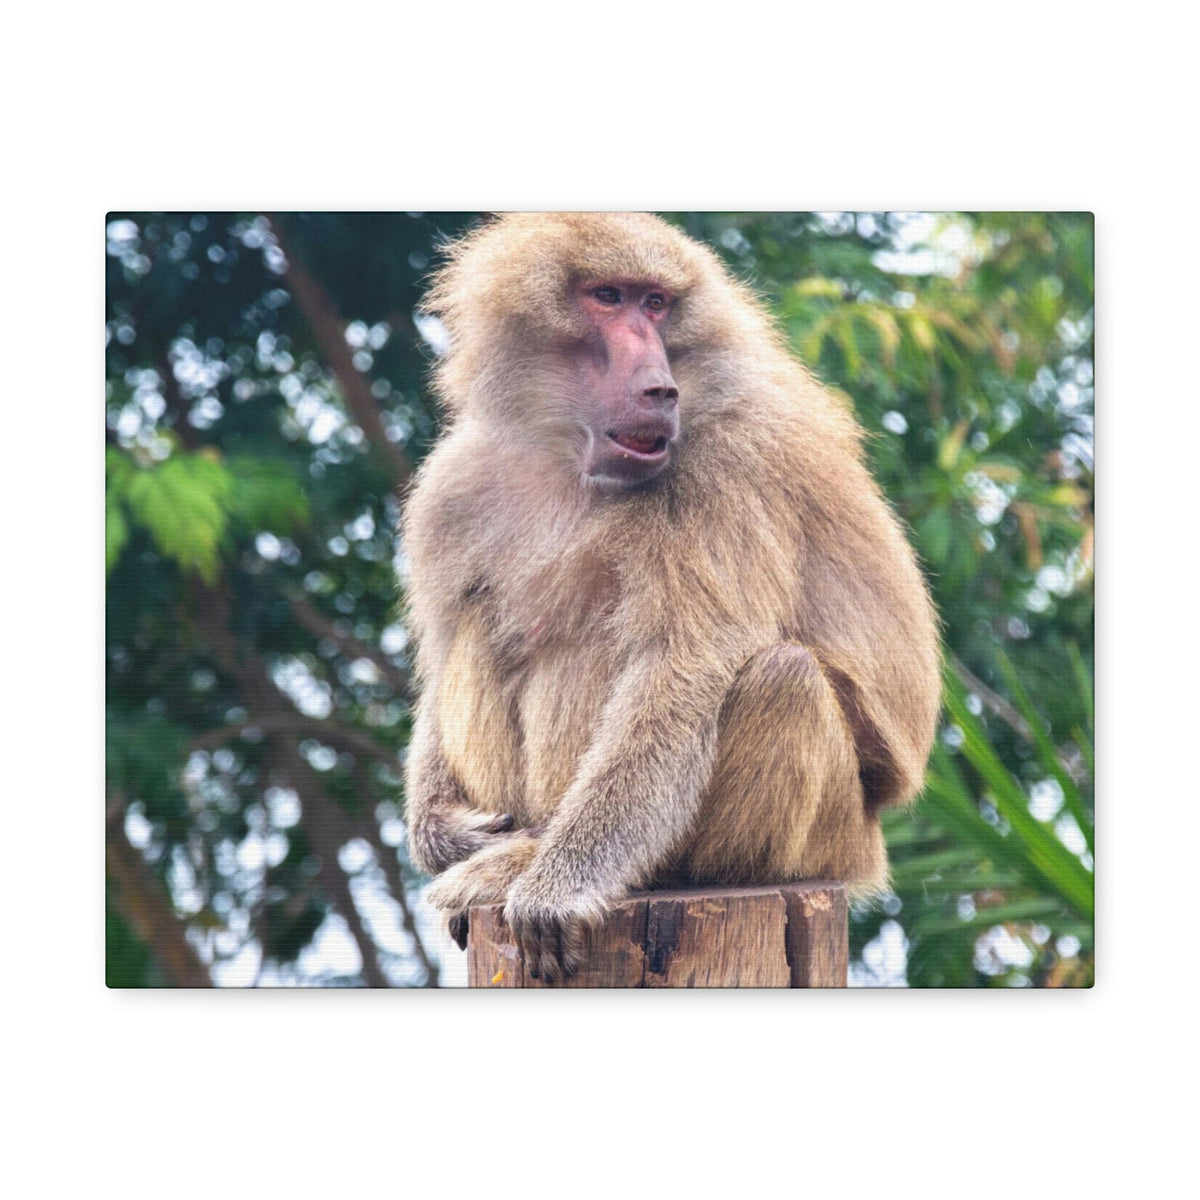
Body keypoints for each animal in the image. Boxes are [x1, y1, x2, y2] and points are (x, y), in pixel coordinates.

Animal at [401, 212, 941, 983]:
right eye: (607, 296)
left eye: (656, 305)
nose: (659, 388)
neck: (567, 455)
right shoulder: (453, 486)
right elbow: (442, 657)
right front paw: (442, 831)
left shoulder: (725, 469)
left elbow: (678, 671)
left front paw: (556, 889)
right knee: (483, 623)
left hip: (827, 839)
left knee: (780, 676)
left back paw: (553, 866)